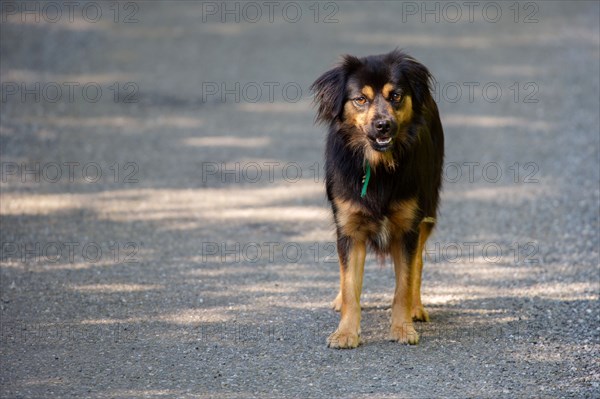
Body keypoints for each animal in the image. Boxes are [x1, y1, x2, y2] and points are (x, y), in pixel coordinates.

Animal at [312, 50, 442, 350]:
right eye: (361, 99)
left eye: (396, 95)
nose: (384, 125)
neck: (378, 164)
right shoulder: (348, 228)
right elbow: (350, 285)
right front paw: (346, 332)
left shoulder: (408, 226)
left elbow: (404, 283)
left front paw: (402, 328)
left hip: (427, 209)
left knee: (418, 263)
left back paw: (416, 308)